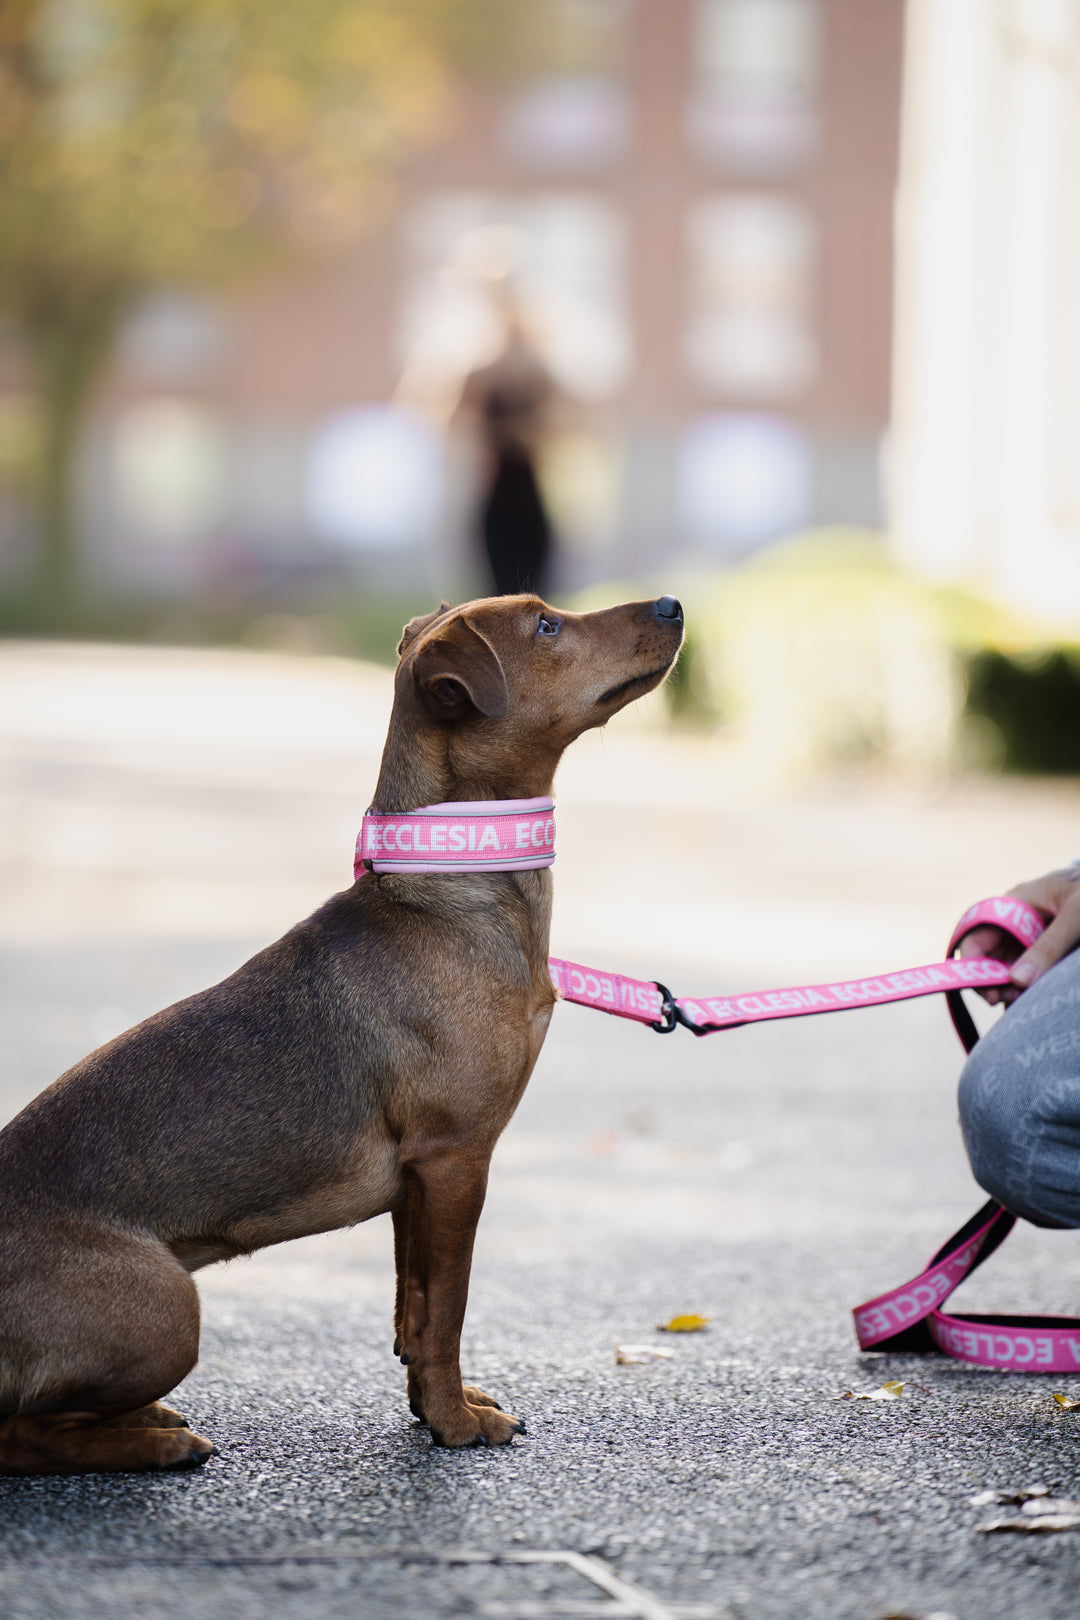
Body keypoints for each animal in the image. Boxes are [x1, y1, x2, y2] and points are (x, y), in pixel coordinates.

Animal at [0, 592, 683, 1470]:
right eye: (546, 626)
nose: (672, 603)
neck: (451, 890)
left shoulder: (417, 1183)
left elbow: (412, 1308)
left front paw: (438, 1405)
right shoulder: (456, 1159)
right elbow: (448, 1310)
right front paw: (455, 1424)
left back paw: (146, 1420)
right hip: (168, 1308)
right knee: (19, 1433)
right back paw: (155, 1444)